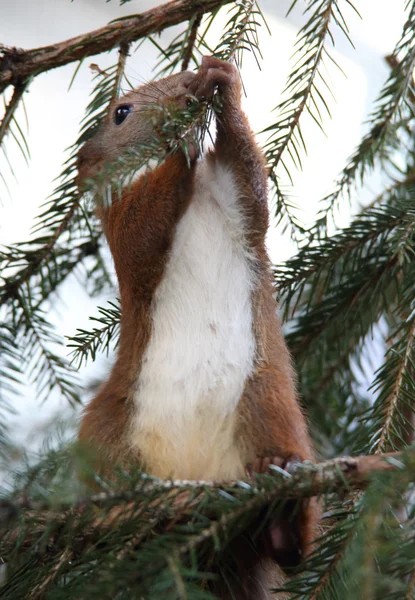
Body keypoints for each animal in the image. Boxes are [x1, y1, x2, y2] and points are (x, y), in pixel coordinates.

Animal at [77, 55, 318, 596]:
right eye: (121, 112)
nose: (186, 85)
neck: (197, 198)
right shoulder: (121, 222)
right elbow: (143, 230)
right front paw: (180, 143)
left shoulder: (236, 200)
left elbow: (250, 176)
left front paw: (222, 81)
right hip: (108, 432)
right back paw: (110, 516)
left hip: (268, 402)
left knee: (290, 548)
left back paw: (280, 500)